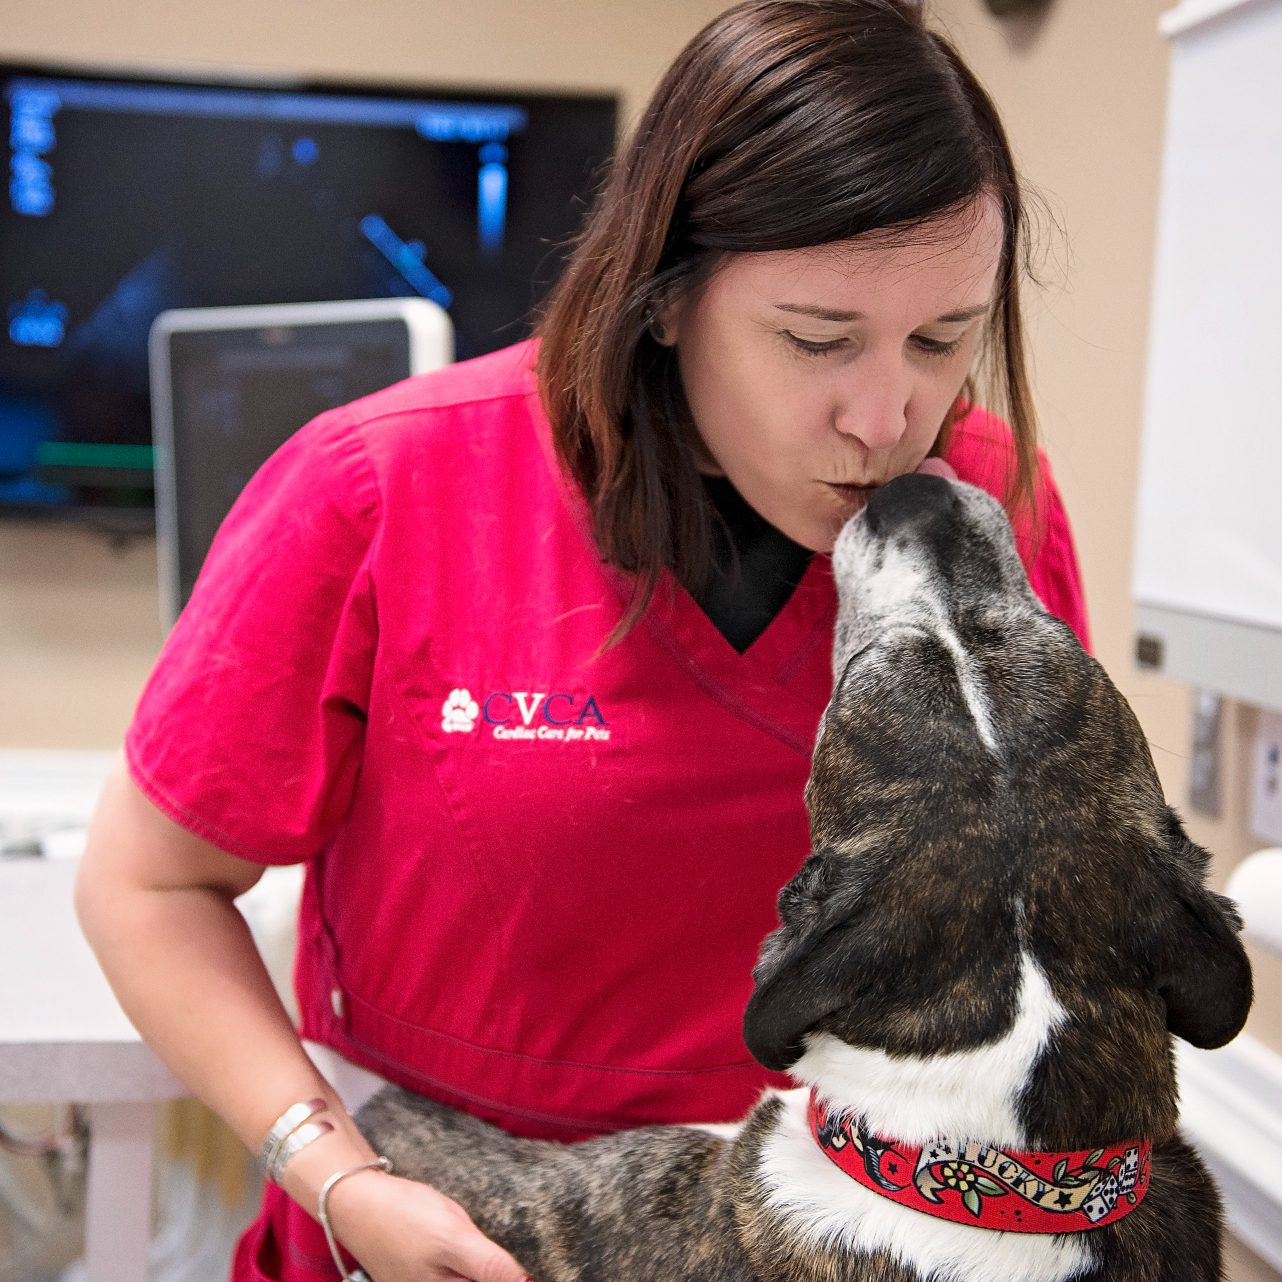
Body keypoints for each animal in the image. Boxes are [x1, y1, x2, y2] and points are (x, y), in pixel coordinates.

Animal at [353, 474, 1251, 1282]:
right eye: (1049, 628)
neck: (989, 1171)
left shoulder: (587, 1200)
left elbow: (452, 1153)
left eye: (861, 671)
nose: (917, 494)